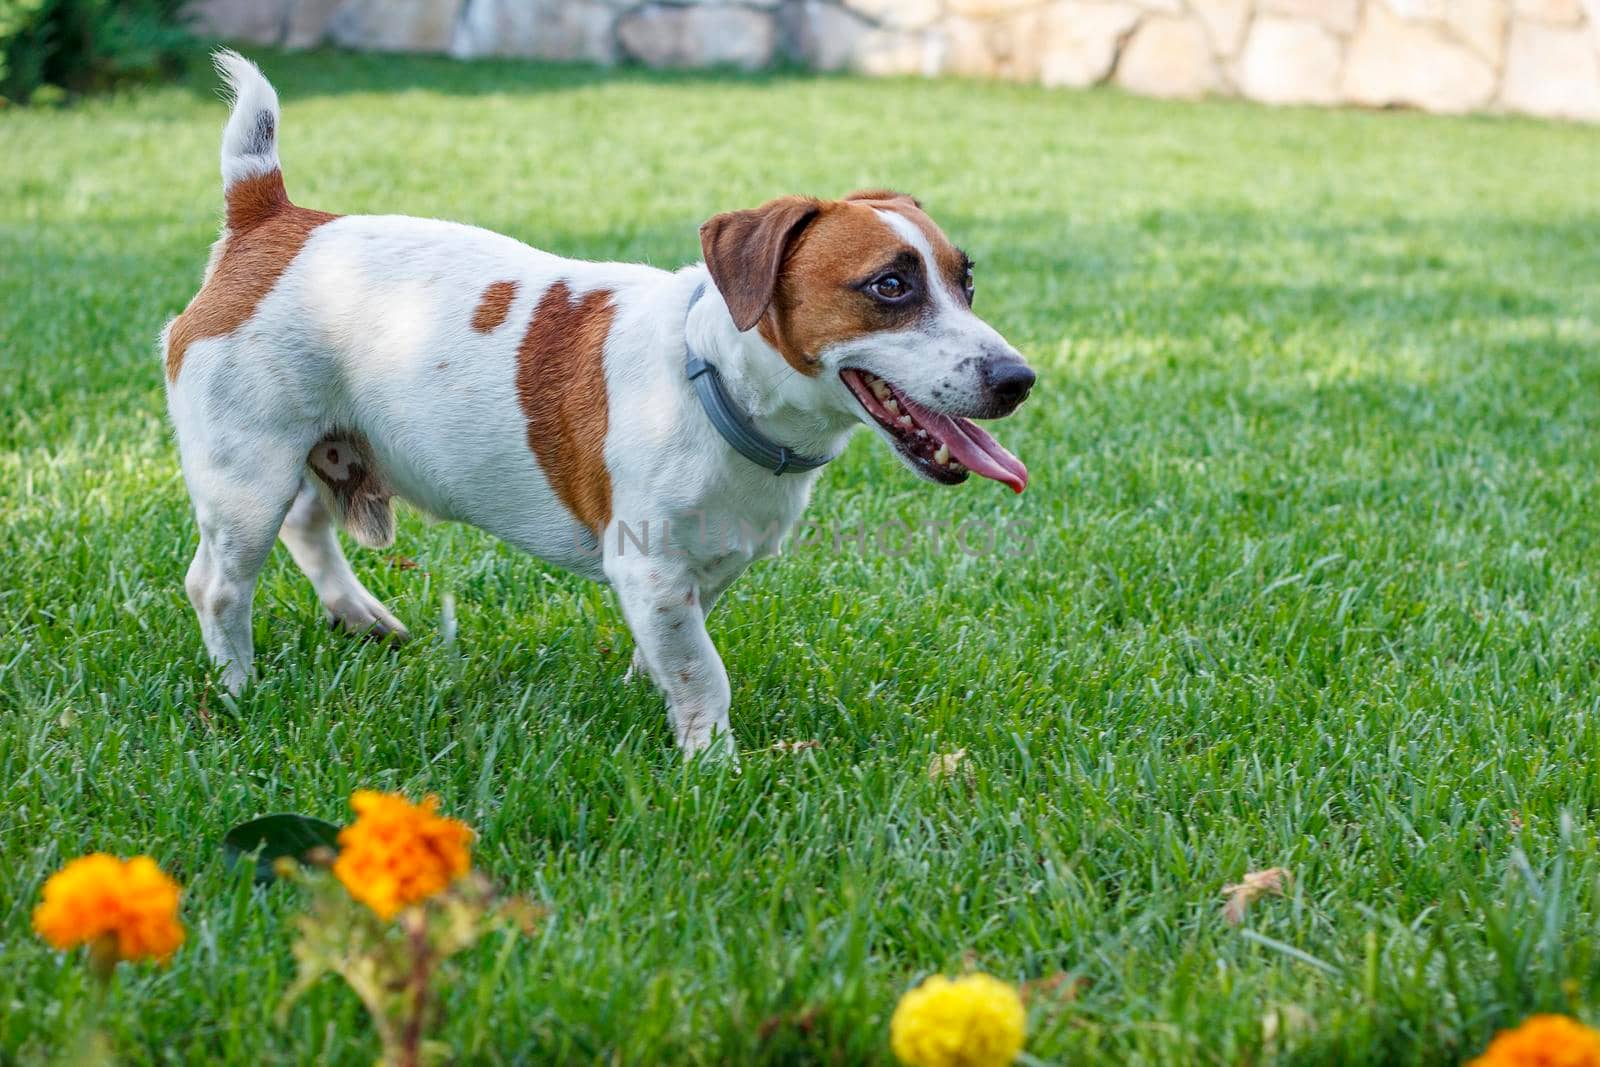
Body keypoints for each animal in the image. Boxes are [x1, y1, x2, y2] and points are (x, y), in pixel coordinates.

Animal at [165, 47, 1036, 751]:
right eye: (890, 286)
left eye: (966, 279)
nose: (1018, 379)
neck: (713, 382)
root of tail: (271, 219)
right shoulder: (649, 567)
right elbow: (704, 673)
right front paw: (711, 761)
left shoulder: (701, 573)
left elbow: (674, 653)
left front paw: (654, 697)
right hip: (248, 477)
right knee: (220, 583)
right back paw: (239, 688)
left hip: (322, 445)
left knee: (309, 525)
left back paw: (355, 613)